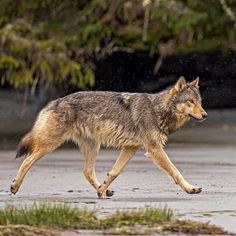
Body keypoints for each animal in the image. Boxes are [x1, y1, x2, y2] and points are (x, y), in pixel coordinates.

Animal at [10, 76, 206, 198]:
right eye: (190, 102)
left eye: (200, 102)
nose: (205, 115)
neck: (158, 110)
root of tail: (53, 102)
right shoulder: (154, 149)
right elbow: (175, 171)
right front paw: (191, 188)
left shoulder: (131, 148)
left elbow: (114, 171)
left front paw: (102, 189)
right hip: (50, 145)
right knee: (27, 160)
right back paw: (14, 186)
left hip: (93, 147)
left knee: (87, 171)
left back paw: (102, 189)